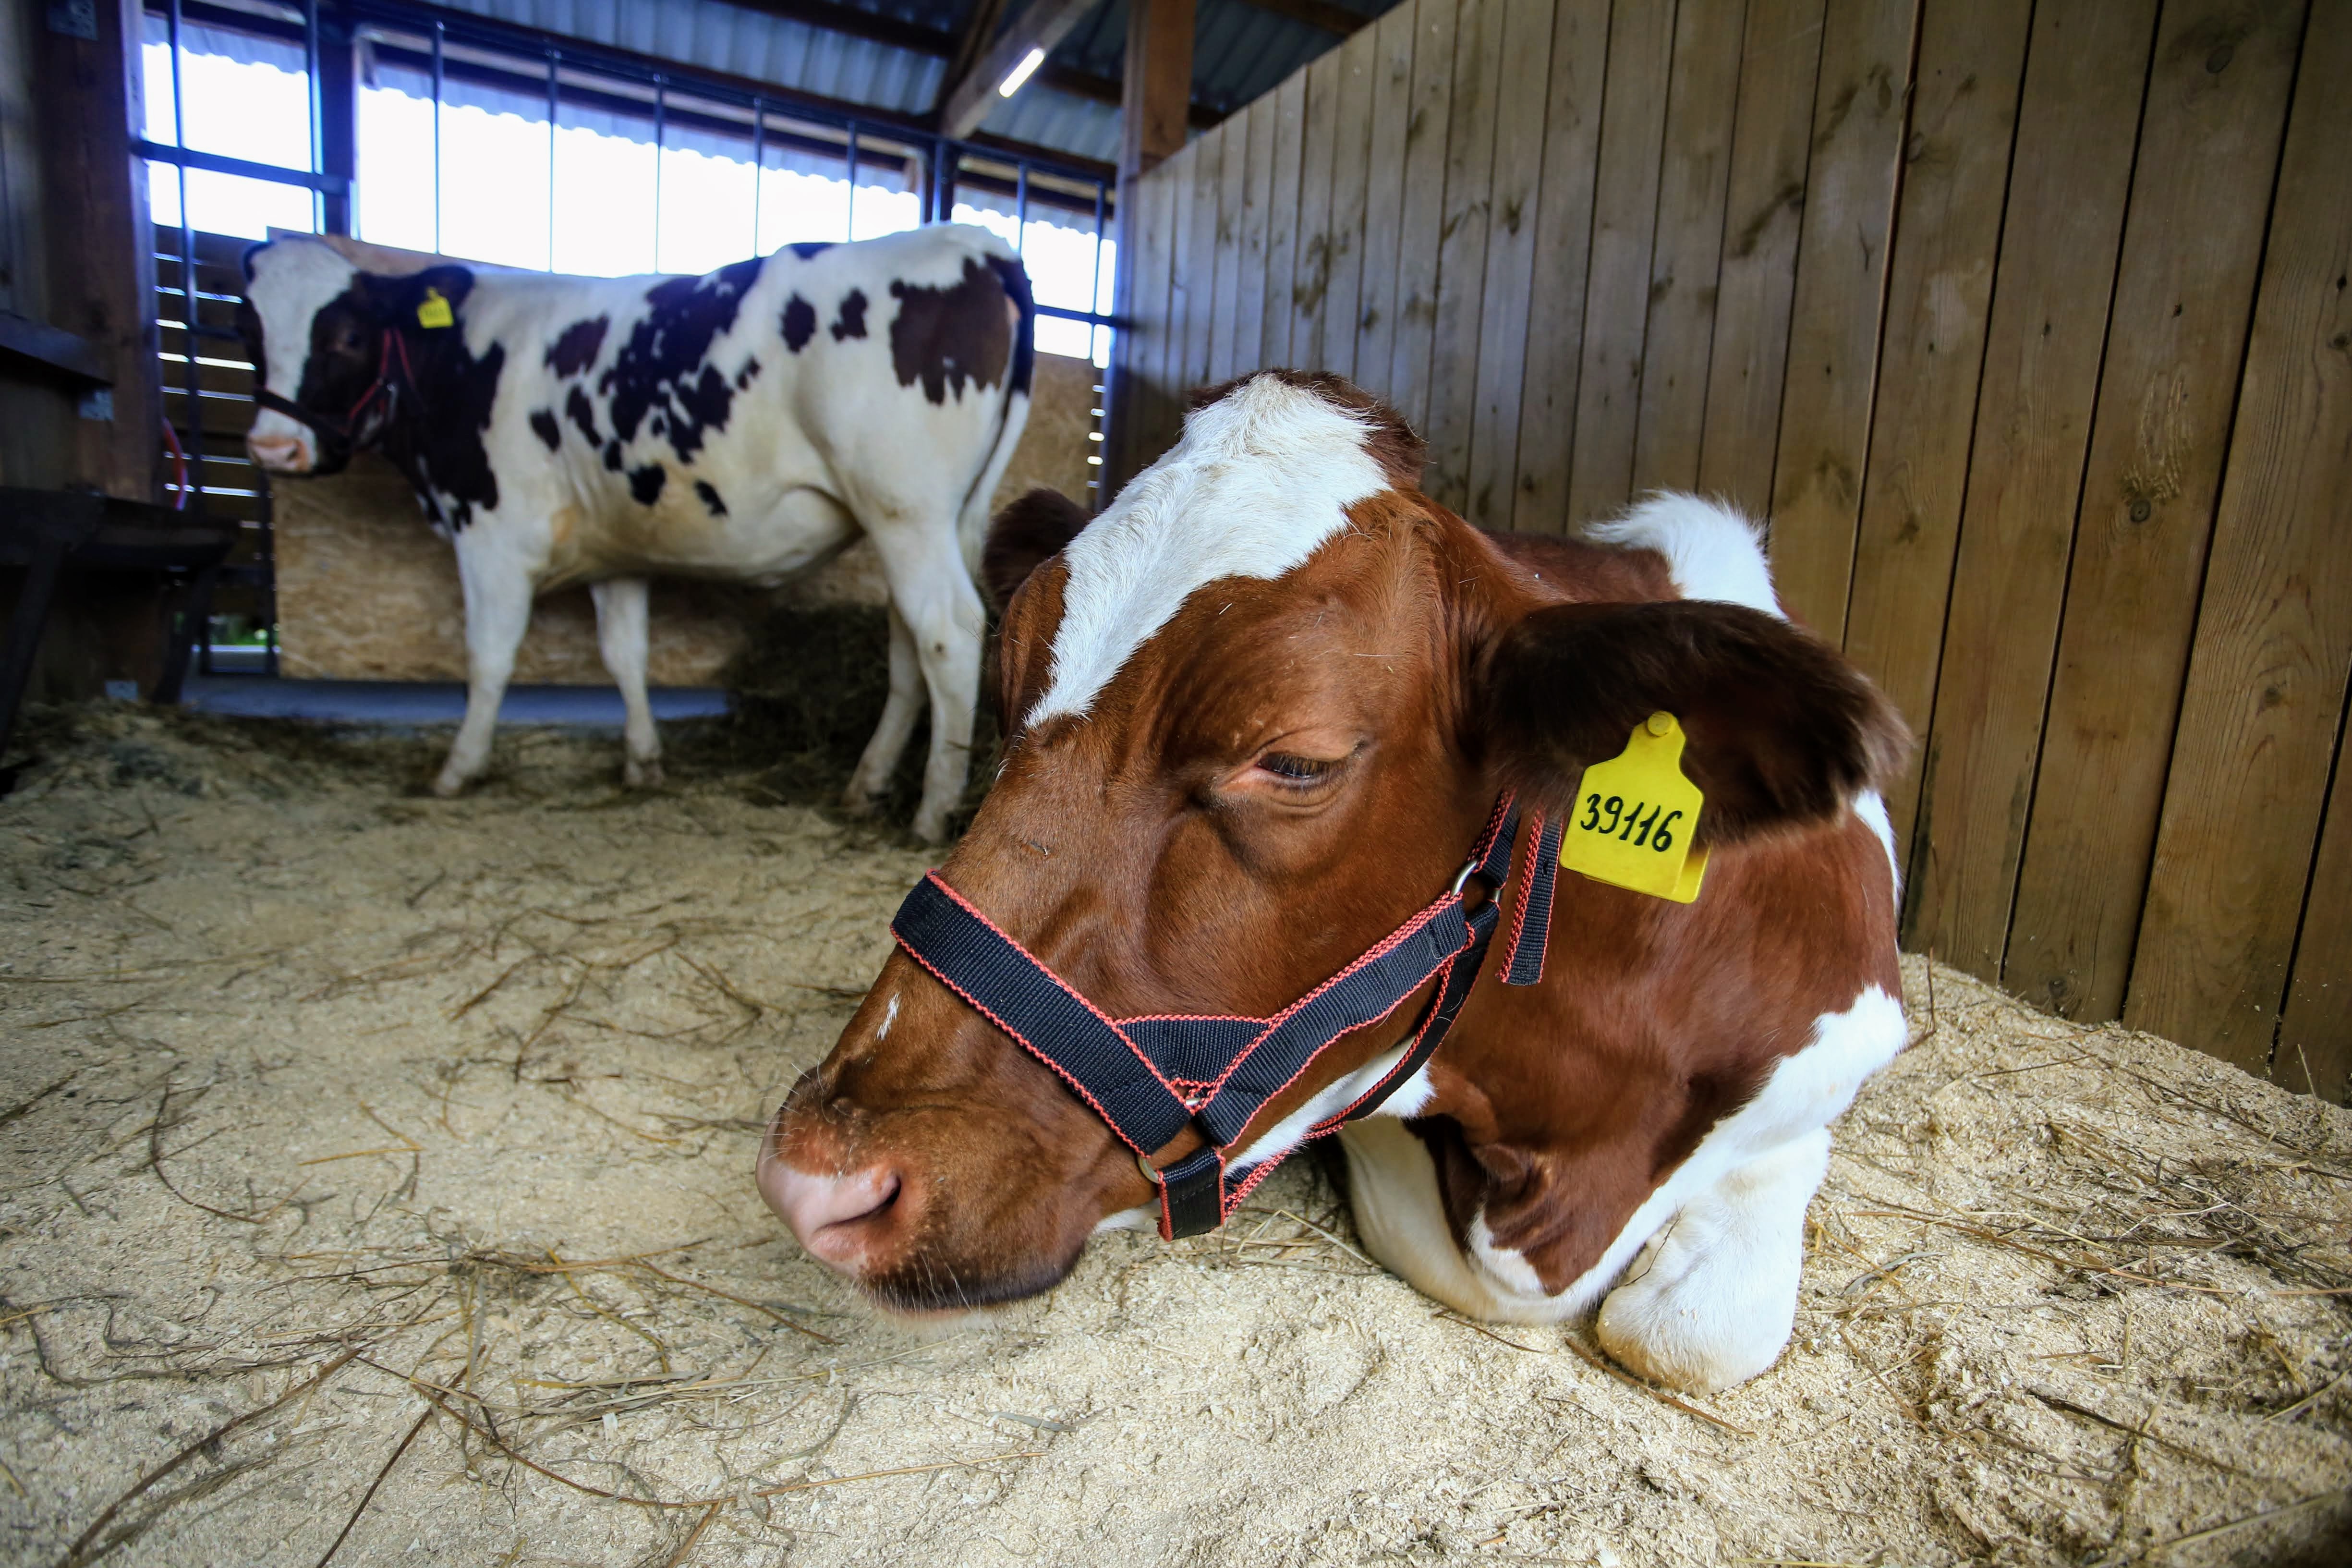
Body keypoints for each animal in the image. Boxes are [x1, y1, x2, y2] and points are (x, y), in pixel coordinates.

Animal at [237, 226, 1034, 842]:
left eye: (347, 335)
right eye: (250, 332)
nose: (274, 446)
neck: (460, 365)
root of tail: (974, 242)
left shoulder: (493, 533)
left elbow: (488, 657)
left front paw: (458, 767)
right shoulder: (615, 551)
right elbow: (625, 656)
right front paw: (643, 762)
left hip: (905, 507)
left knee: (949, 631)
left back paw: (932, 811)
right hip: (917, 517)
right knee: (907, 646)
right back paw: (866, 786)